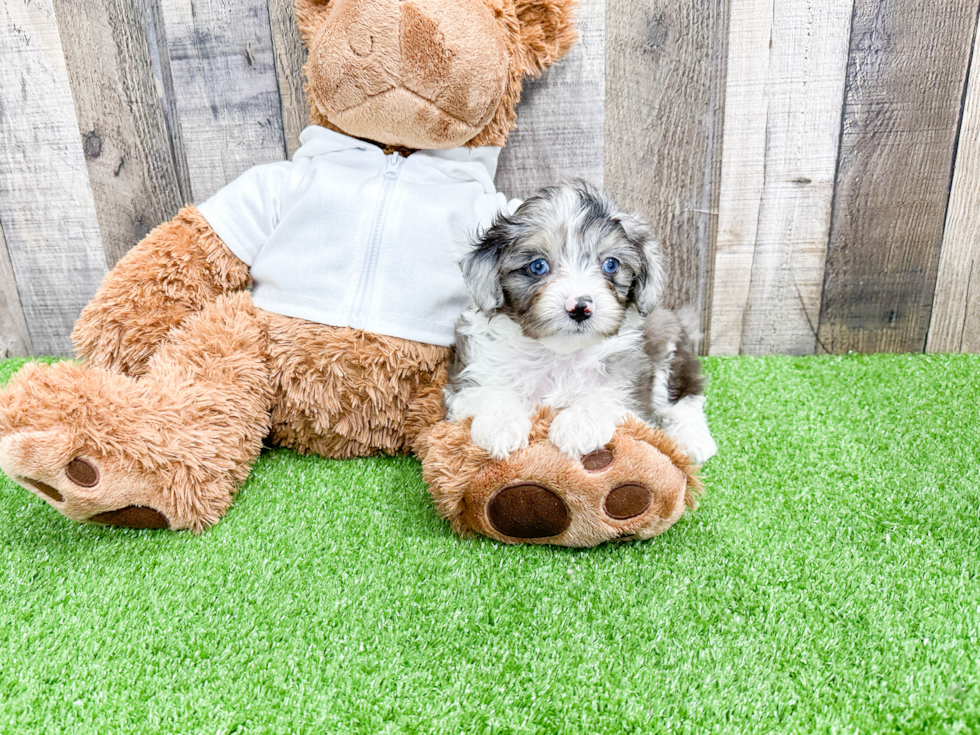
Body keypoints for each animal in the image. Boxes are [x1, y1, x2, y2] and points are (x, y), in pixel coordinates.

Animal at [446, 180, 720, 462]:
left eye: (611, 264)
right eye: (537, 266)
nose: (580, 308)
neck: (559, 354)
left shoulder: (630, 377)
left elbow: (609, 394)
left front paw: (578, 424)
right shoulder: (472, 371)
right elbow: (488, 389)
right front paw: (501, 424)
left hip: (669, 349)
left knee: (686, 399)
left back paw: (693, 439)